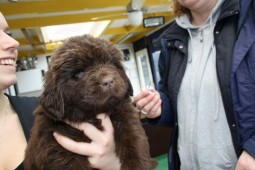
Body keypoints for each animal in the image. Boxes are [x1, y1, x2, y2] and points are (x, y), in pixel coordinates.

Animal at [23, 33, 156, 169]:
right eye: (79, 72)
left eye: (111, 63)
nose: (108, 81)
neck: (92, 115)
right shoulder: (58, 150)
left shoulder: (127, 121)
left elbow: (135, 142)